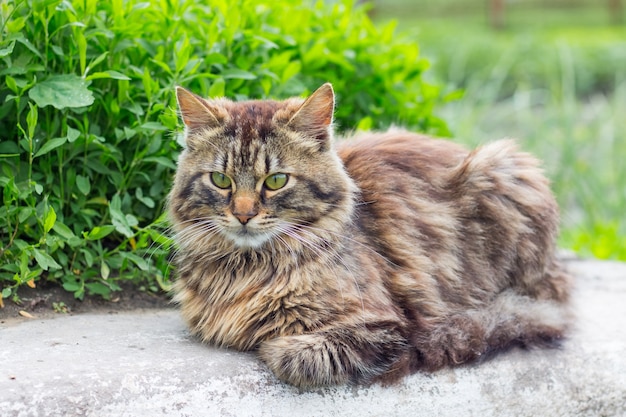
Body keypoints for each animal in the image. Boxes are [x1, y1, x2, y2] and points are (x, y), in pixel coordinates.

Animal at [167, 83, 572, 388]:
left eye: (277, 180)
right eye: (221, 180)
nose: (243, 214)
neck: (247, 269)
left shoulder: (385, 325)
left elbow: (298, 357)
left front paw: (275, 349)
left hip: (503, 168)